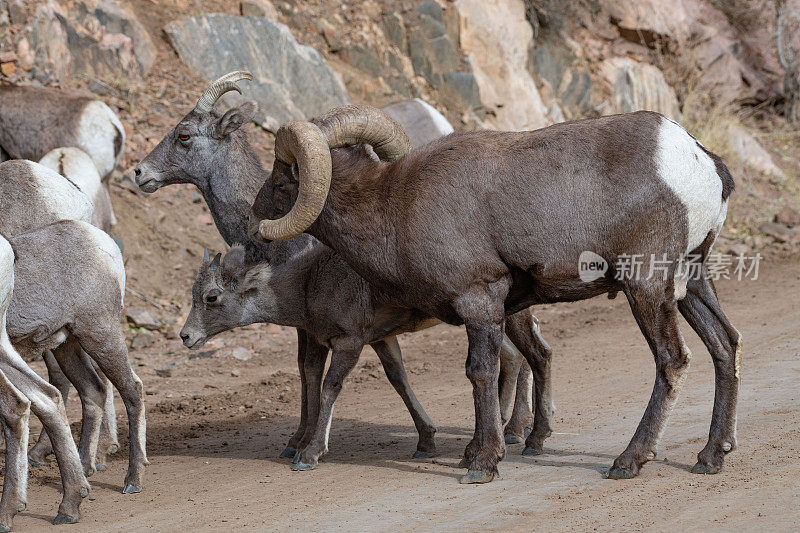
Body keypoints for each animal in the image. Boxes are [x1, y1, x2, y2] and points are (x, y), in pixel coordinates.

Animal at [8, 220, 148, 494]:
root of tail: (101, 240)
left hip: (100, 335)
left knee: (132, 389)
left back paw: (133, 480)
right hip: (67, 345)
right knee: (93, 390)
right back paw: (84, 470)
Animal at [134, 71, 544, 454]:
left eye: (184, 135)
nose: (140, 173)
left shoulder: (315, 322)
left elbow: (309, 371)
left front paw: (299, 443)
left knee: (519, 356)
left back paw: (513, 431)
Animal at [253, 104, 740, 482]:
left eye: (281, 181)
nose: (254, 217)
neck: (392, 207)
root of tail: (701, 162)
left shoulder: (479, 301)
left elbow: (481, 373)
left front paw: (483, 463)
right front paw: (475, 452)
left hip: (647, 286)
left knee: (672, 360)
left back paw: (628, 461)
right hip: (691, 282)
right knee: (725, 345)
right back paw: (711, 456)